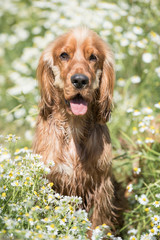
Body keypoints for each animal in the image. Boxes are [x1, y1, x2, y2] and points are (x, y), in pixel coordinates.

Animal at [32, 26, 122, 231]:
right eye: (64, 55)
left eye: (93, 57)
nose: (80, 80)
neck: (74, 125)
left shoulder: (100, 186)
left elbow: (97, 223)